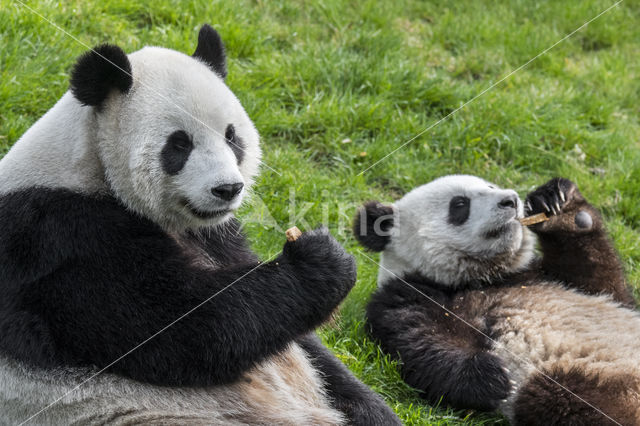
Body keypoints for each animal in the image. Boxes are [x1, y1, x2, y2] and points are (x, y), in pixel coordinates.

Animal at [0, 25, 400, 424]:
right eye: (179, 144)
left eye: (231, 136)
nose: (228, 189)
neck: (90, 163)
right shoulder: (61, 238)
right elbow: (186, 329)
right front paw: (320, 261)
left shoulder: (216, 234)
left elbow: (302, 343)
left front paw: (372, 406)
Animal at [356, 175, 640, 424]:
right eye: (459, 204)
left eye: (490, 186)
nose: (510, 200)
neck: (486, 278)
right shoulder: (407, 294)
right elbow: (420, 341)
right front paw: (490, 378)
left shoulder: (554, 279)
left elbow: (604, 280)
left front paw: (556, 202)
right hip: (574, 381)